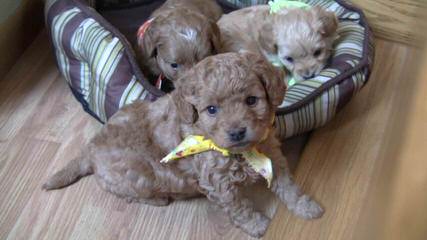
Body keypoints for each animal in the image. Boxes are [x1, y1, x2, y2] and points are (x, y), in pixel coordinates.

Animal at [44, 51, 324, 237]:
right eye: (211, 110)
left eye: (251, 100)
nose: (236, 132)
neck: (239, 152)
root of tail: (90, 151)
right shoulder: (218, 183)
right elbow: (238, 206)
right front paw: (258, 225)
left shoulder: (272, 155)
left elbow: (289, 186)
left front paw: (306, 207)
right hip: (136, 178)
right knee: (131, 194)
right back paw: (159, 199)